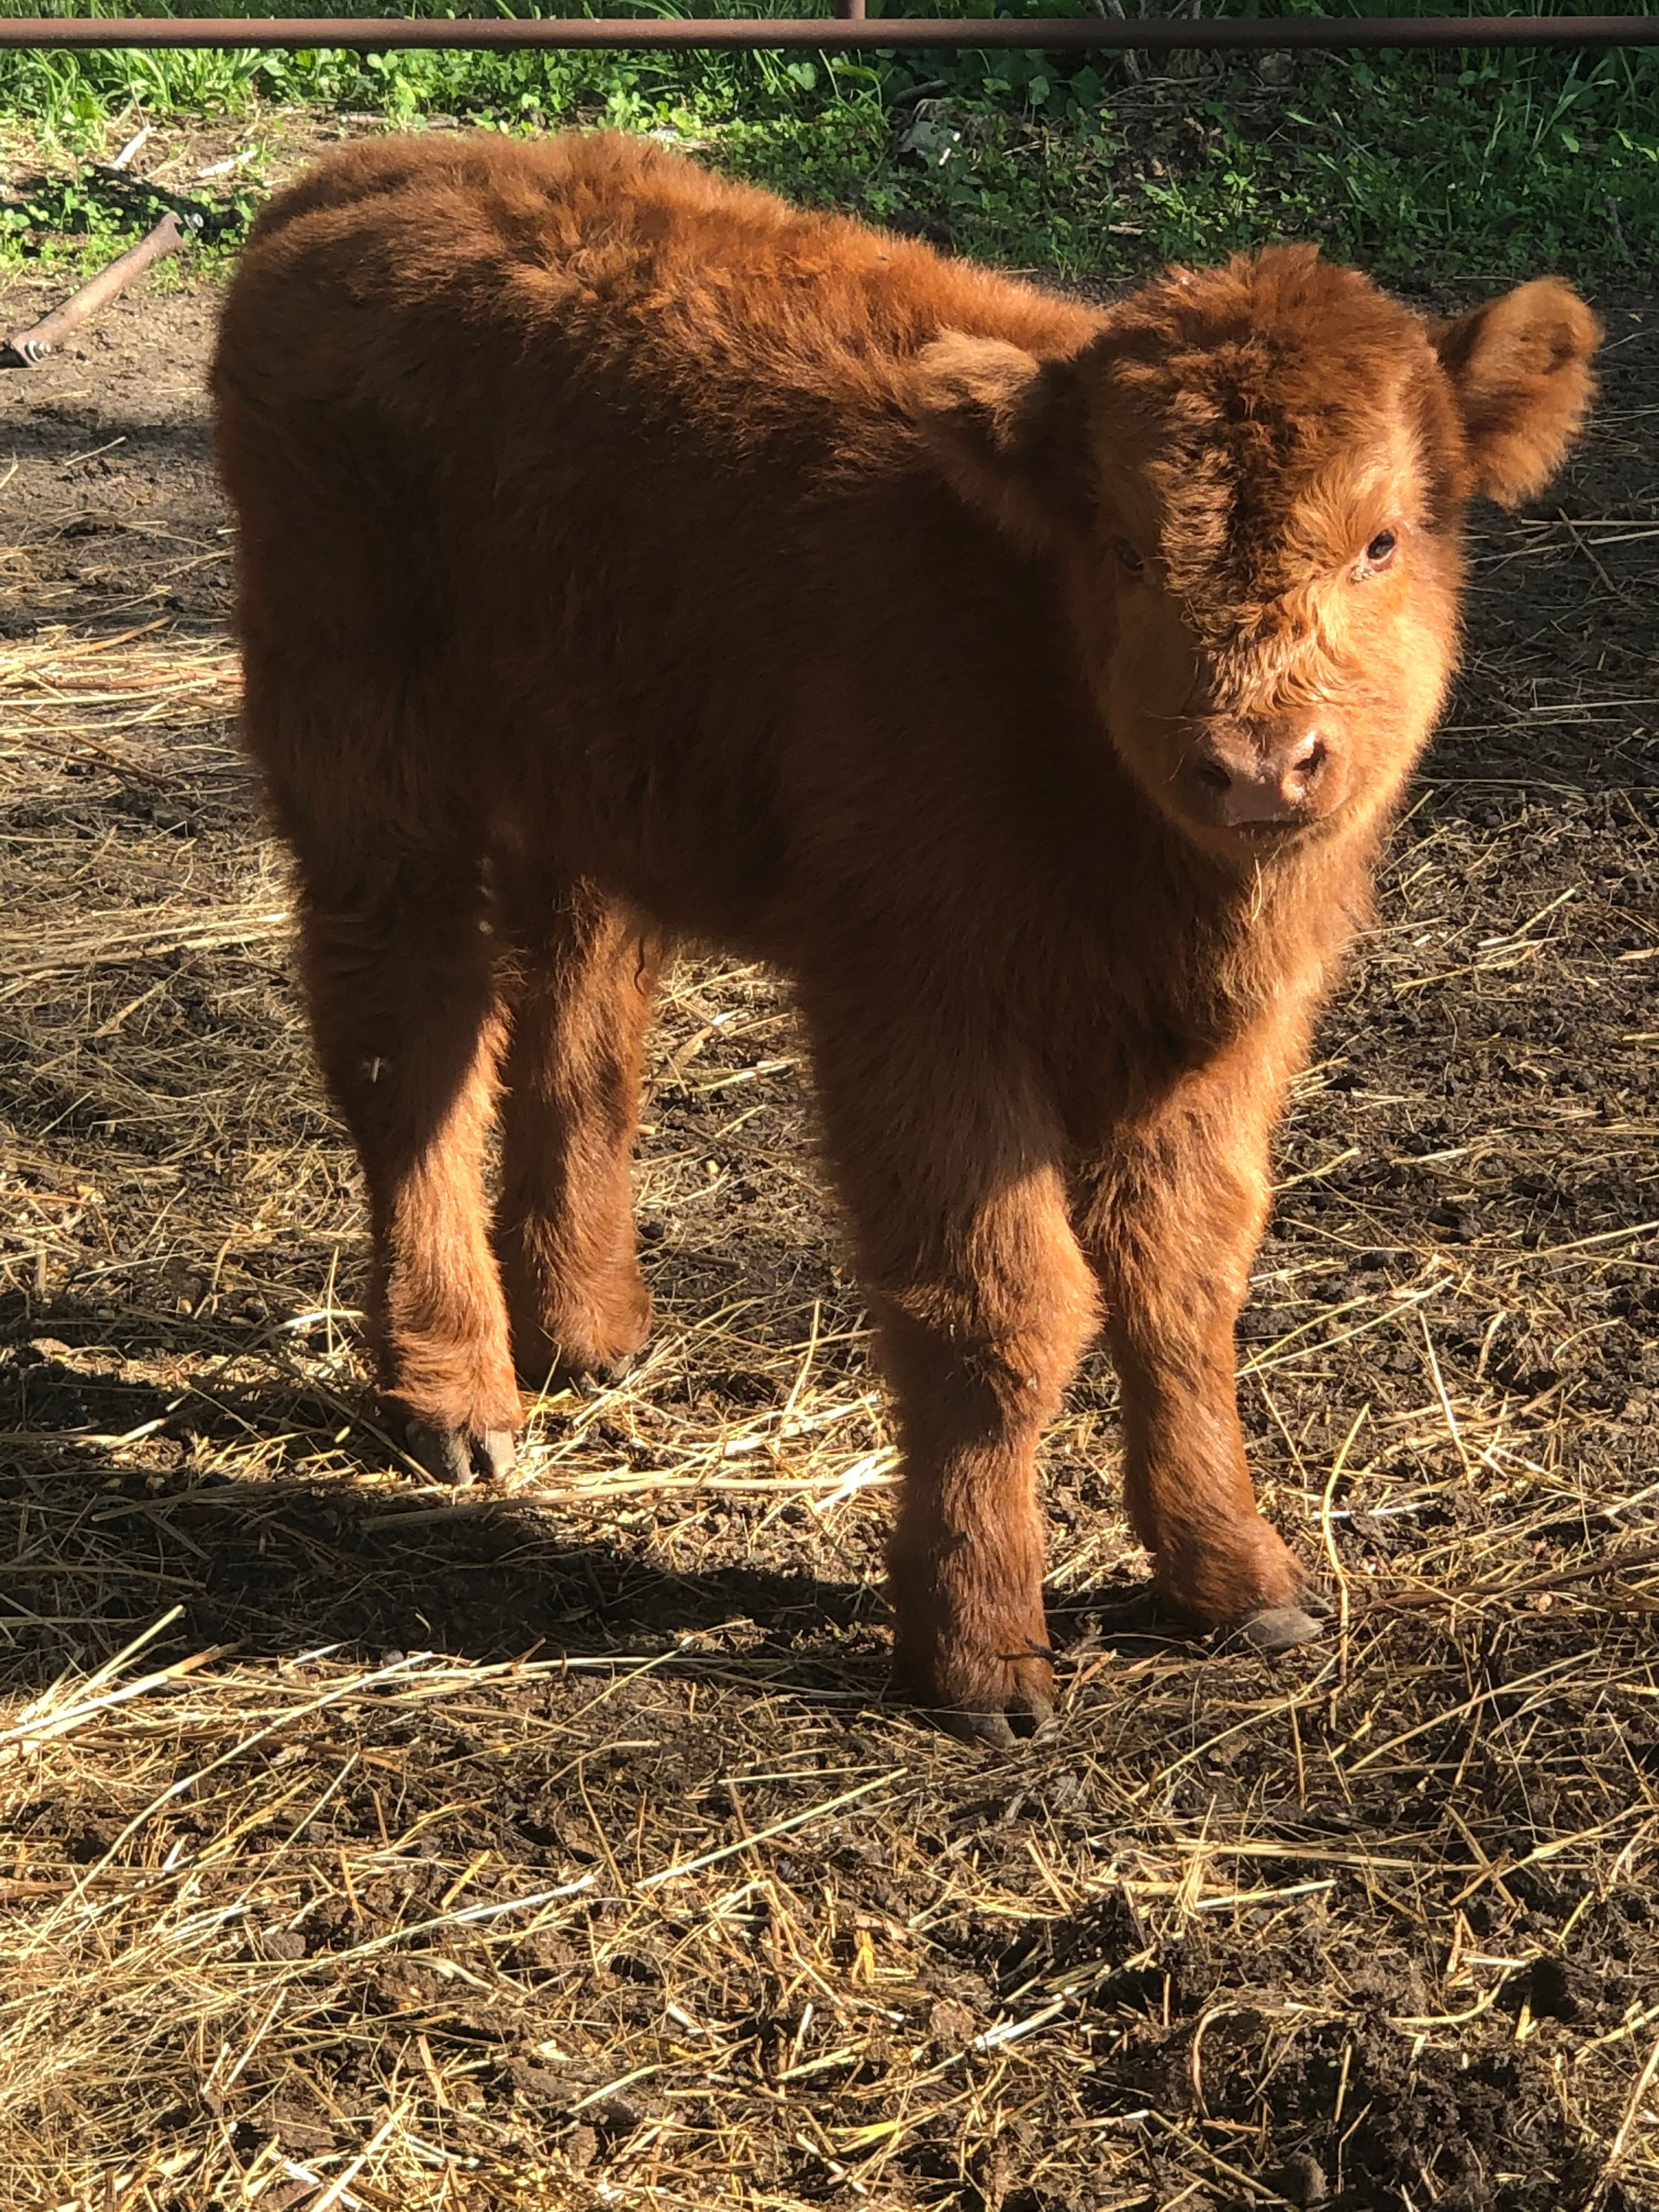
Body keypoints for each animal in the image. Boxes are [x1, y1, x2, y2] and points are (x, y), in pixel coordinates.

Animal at [211, 131, 1599, 1743]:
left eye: (1382, 538)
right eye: (1126, 546)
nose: (1260, 765)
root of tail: (361, 177)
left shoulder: (1227, 1034)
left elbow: (1186, 1284)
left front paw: (1238, 1580)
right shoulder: (923, 1012)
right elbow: (1000, 1311)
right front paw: (981, 1652)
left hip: (590, 787)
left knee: (579, 1031)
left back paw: (587, 1327)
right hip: (366, 762)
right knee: (409, 1047)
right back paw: (457, 1399)